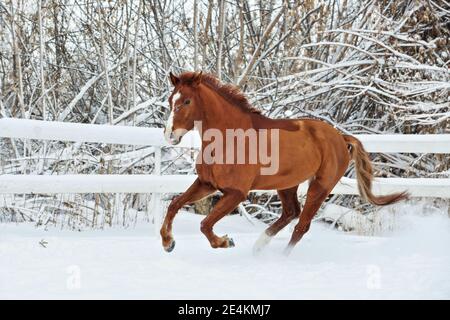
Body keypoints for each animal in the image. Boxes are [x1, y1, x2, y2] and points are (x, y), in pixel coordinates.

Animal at [159, 70, 408, 255]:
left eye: (187, 101)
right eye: (171, 100)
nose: (170, 135)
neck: (230, 139)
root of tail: (340, 137)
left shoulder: (236, 193)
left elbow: (205, 224)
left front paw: (225, 242)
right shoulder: (207, 183)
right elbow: (174, 204)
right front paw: (168, 243)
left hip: (320, 186)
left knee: (301, 225)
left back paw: (279, 257)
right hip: (287, 185)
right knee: (291, 212)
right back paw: (259, 247)